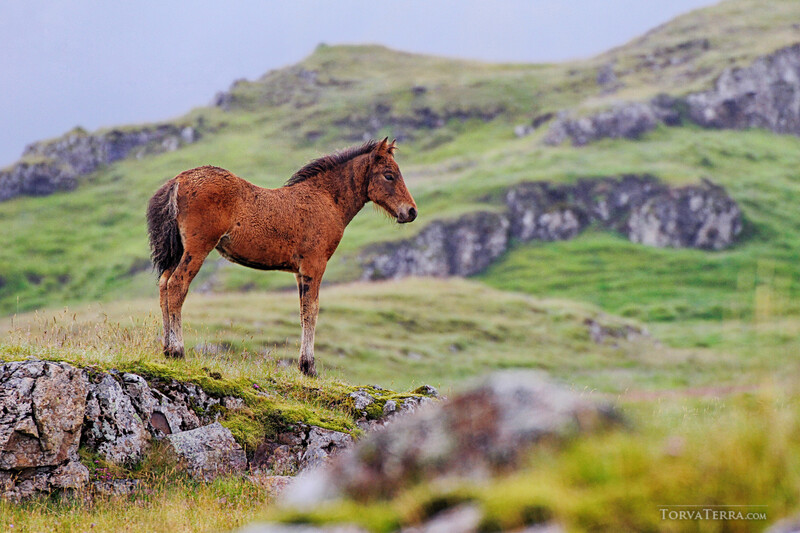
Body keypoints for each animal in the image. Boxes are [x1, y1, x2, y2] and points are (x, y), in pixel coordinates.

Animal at [146, 138, 417, 376]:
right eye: (389, 175)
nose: (411, 211)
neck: (326, 199)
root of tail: (178, 180)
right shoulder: (314, 264)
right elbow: (312, 310)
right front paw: (309, 367)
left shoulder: (299, 272)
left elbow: (302, 311)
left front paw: (304, 364)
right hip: (198, 248)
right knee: (177, 285)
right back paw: (178, 351)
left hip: (178, 251)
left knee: (163, 285)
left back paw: (166, 349)